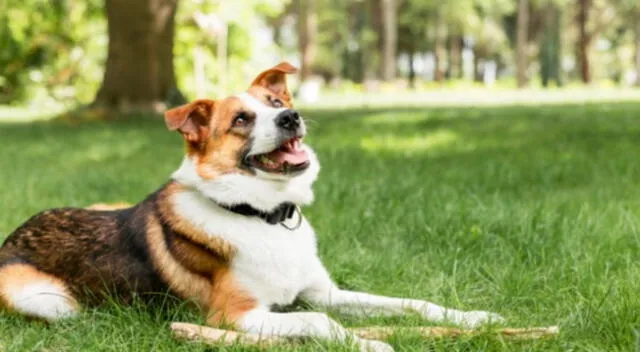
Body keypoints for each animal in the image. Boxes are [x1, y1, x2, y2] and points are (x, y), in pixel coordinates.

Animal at [0, 62, 500, 350]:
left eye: (276, 101)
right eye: (242, 119)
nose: (290, 117)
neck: (264, 216)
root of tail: (13, 235)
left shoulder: (323, 291)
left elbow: (412, 302)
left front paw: (472, 317)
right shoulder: (236, 316)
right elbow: (319, 322)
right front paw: (366, 344)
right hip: (49, 300)